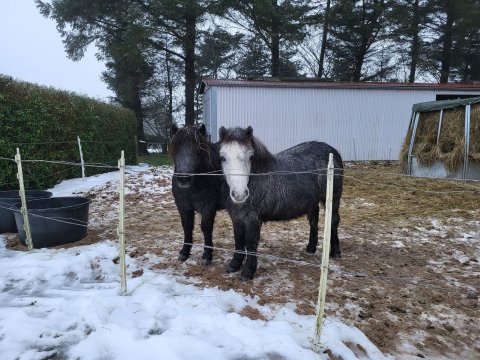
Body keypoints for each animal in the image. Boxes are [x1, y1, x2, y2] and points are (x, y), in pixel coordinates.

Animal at [170, 124, 224, 264]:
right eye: (176, 148)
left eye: (198, 150)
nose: (184, 178)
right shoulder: (183, 207)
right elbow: (187, 227)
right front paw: (185, 252)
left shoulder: (208, 208)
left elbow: (206, 228)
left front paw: (207, 255)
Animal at [219, 126, 344, 282]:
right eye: (223, 157)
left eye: (250, 157)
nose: (239, 194)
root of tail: (332, 151)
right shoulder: (236, 218)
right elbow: (238, 241)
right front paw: (234, 265)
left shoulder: (253, 219)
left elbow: (251, 243)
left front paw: (247, 272)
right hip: (312, 202)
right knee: (313, 221)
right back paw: (310, 248)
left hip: (333, 198)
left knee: (333, 220)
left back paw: (335, 251)